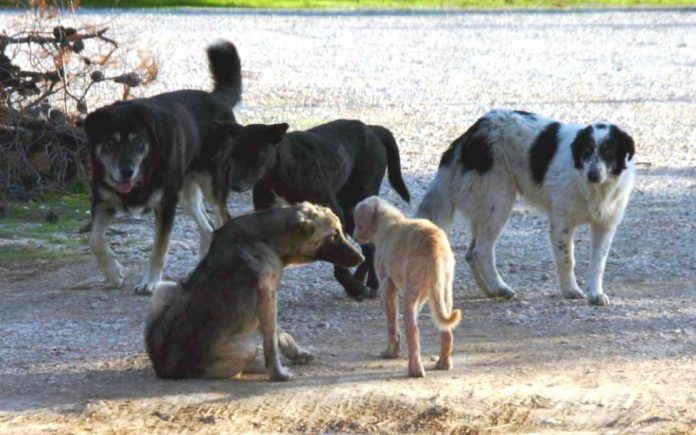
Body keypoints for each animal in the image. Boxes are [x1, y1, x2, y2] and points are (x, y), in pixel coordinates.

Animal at [85, 41, 242, 294]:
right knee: (208, 229)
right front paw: (114, 273)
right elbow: (95, 241)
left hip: (211, 184)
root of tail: (216, 99)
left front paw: (150, 281)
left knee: (222, 219)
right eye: (110, 143)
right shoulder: (103, 201)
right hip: (187, 193)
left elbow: (159, 248)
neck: (145, 170)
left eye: (138, 142)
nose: (126, 171)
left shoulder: (166, 204)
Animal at [147, 204, 364, 382]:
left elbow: (280, 334)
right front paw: (278, 374)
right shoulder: (267, 295)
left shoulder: (266, 300)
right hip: (246, 348)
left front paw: (297, 355)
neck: (268, 239)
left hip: (164, 288)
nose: (361, 258)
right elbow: (271, 342)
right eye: (333, 236)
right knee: (236, 368)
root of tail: (164, 369)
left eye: (340, 232)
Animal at [354, 196, 462, 376]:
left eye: (357, 222)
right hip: (444, 292)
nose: (355, 237)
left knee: (413, 331)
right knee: (446, 332)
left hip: (411, 295)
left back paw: (415, 370)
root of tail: (434, 245)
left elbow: (392, 324)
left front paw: (391, 353)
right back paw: (443, 364)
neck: (388, 222)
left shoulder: (387, 287)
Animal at [418, 109, 636, 306]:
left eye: (608, 151)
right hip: (498, 202)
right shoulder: (561, 224)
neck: (594, 188)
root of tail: (471, 133)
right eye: (587, 150)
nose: (593, 175)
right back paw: (500, 288)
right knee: (481, 250)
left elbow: (598, 263)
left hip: (486, 208)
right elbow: (567, 260)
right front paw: (570, 290)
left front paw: (595, 294)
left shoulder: (605, 226)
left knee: (471, 253)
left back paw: (489, 290)